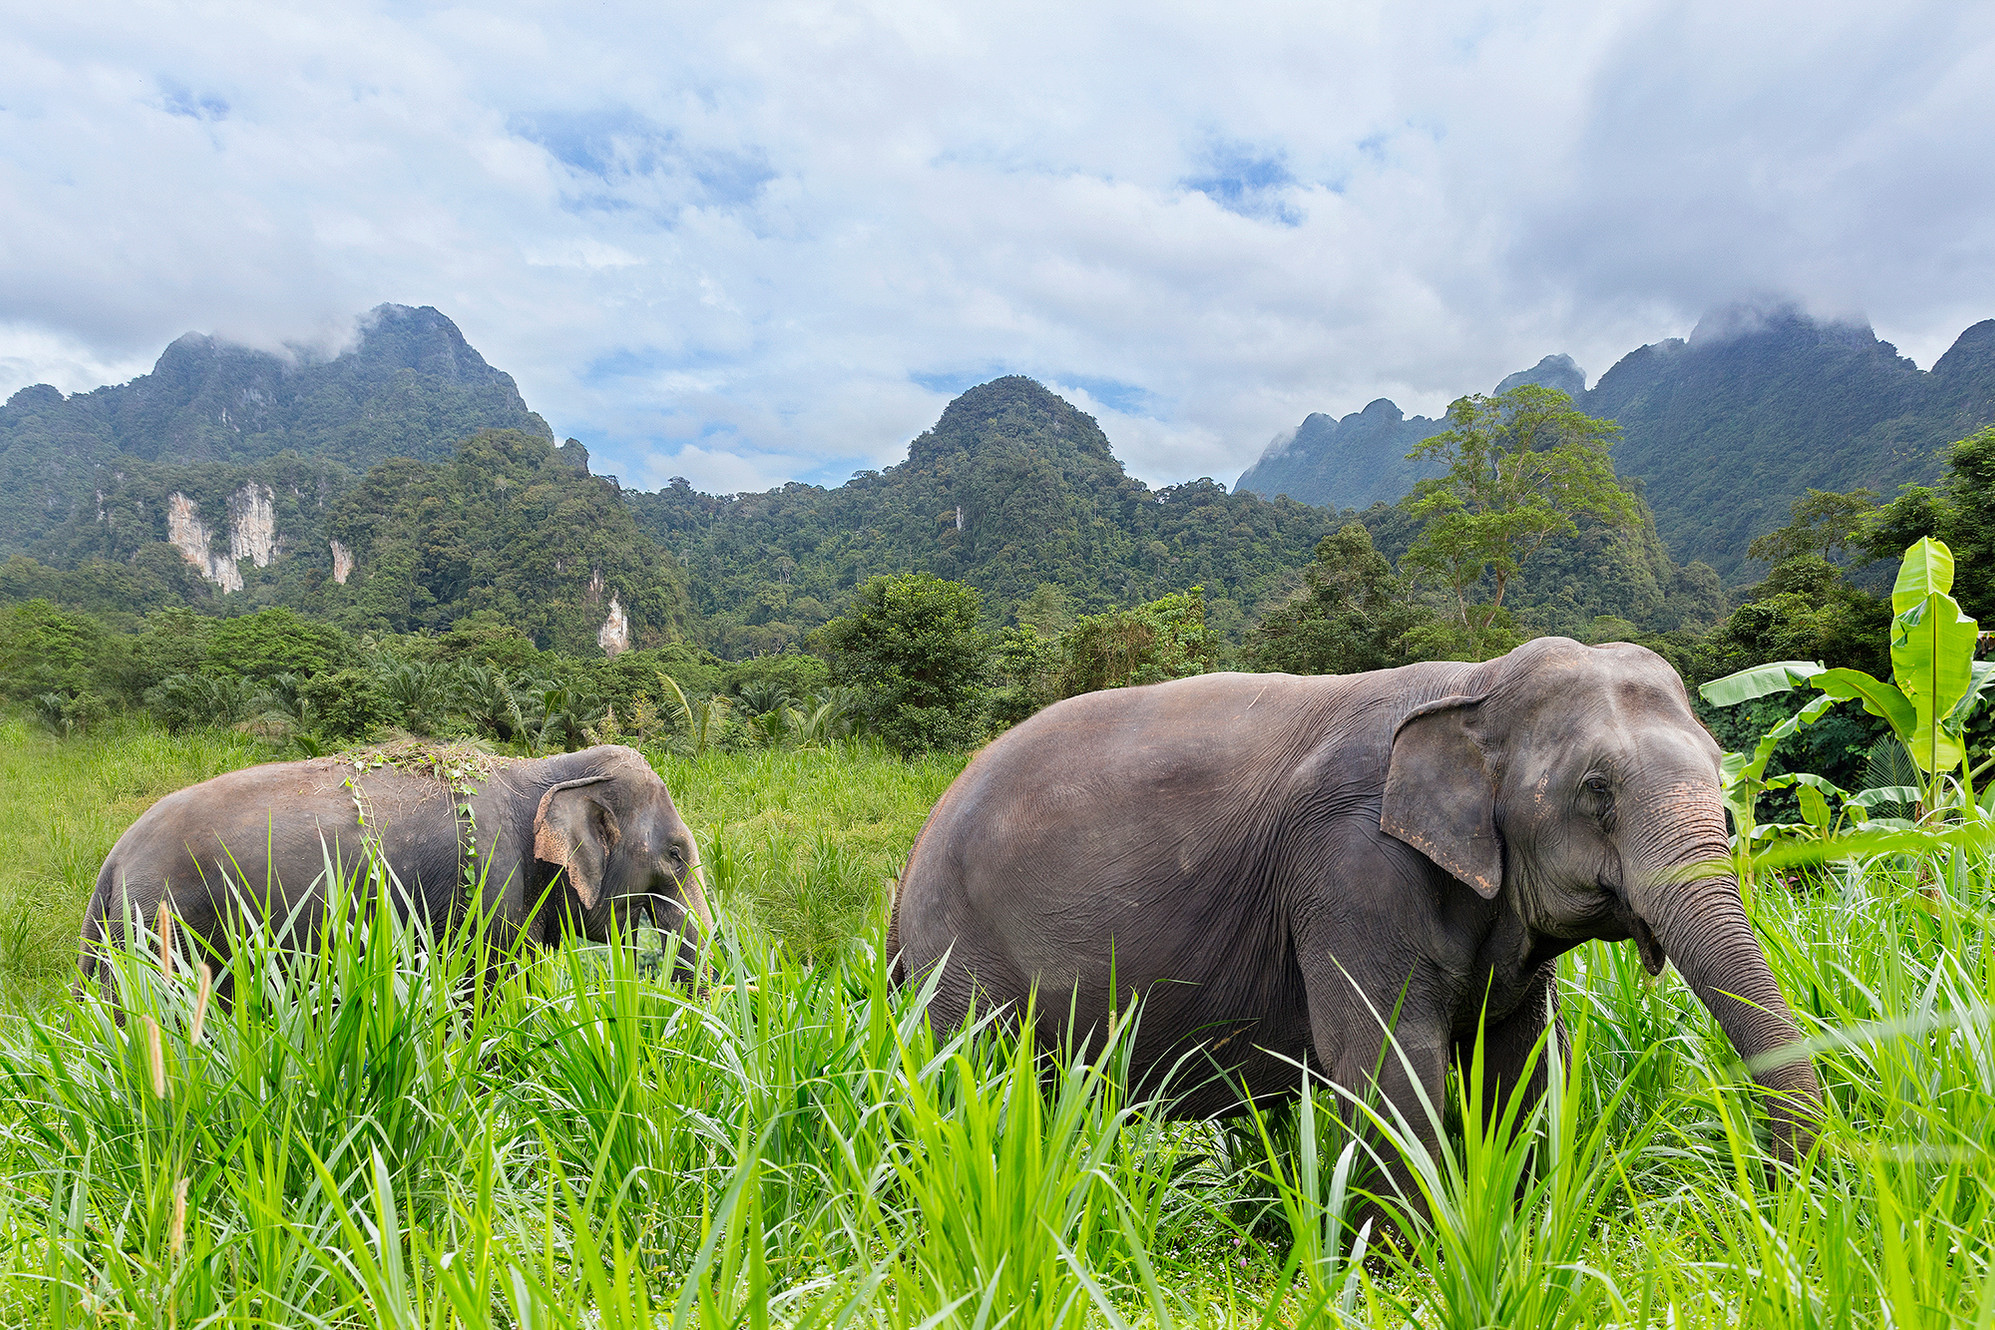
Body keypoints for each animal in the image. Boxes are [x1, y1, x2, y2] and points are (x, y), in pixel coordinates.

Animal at [897, 638, 1827, 1172]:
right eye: (1595, 789)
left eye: (1721, 767)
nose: (1777, 1186)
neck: (1474, 682)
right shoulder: (1349, 867)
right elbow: (1390, 1064)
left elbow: (1522, 1062)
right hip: (957, 955)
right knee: (975, 1080)